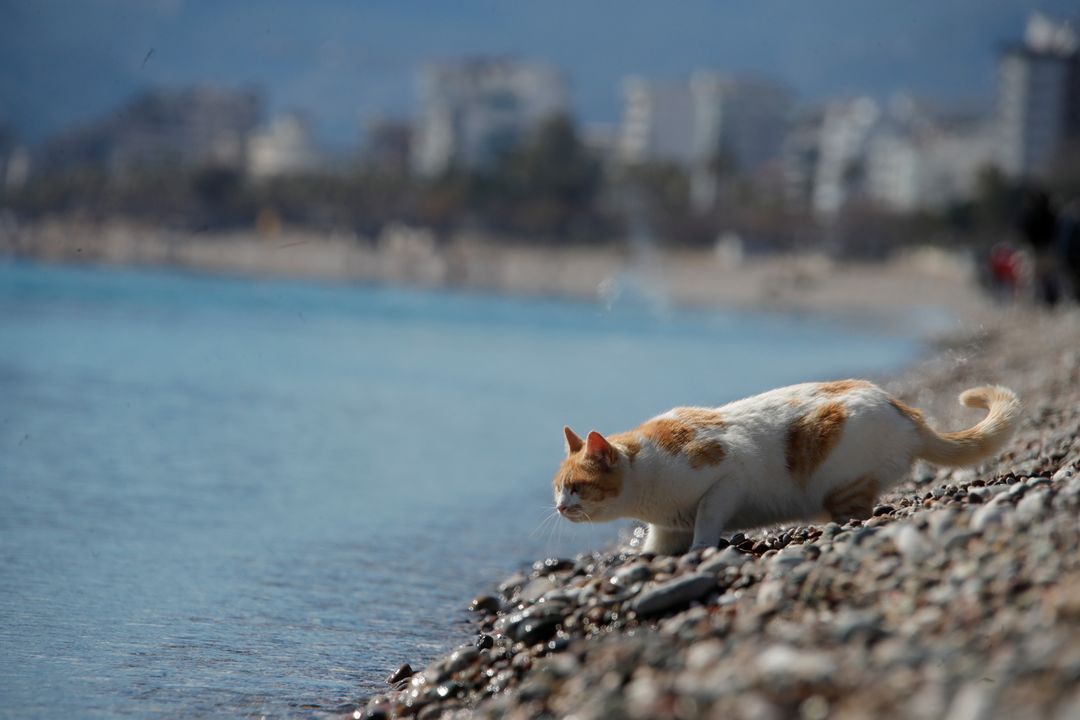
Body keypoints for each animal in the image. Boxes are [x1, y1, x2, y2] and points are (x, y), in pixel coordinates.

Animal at [552, 379, 1015, 557]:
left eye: (576, 487)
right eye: (557, 488)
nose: (559, 507)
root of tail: (906, 409)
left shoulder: (726, 479)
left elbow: (706, 521)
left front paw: (702, 551)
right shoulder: (667, 526)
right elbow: (655, 545)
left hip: (841, 484)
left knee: (856, 511)